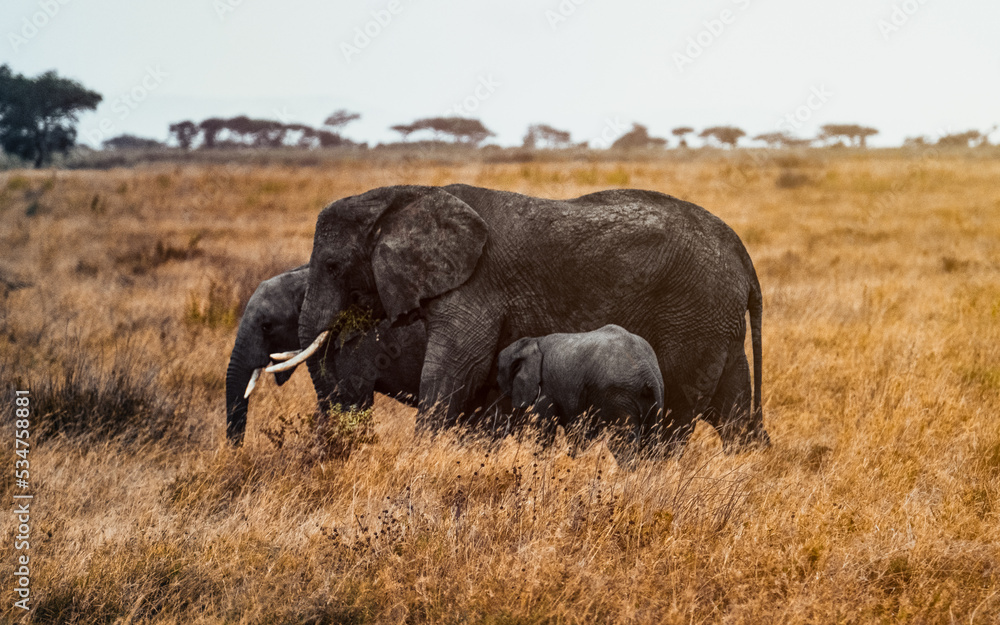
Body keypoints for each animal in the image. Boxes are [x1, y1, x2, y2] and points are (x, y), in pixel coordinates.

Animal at [497, 324, 665, 460]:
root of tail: (647, 370)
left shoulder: (546, 389)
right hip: (653, 398)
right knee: (651, 444)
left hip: (618, 395)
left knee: (624, 445)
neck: (532, 342)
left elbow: (542, 431)